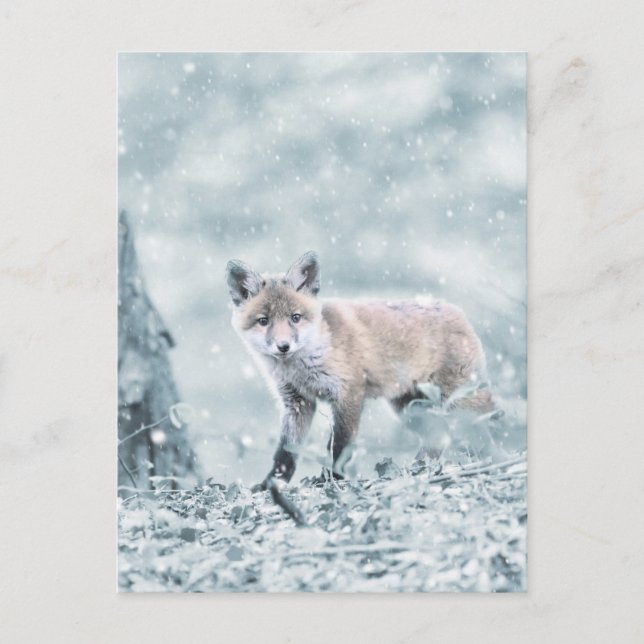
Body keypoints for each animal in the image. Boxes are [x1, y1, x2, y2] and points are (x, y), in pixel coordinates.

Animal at [226, 251, 493, 489]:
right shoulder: (297, 403)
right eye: (264, 321)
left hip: (457, 400)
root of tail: (456, 310)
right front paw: (271, 484)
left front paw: (332, 479)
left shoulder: (348, 393)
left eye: (295, 317)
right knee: (438, 436)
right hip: (410, 408)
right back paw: (417, 469)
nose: (283, 346)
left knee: (487, 420)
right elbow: (286, 452)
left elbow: (339, 446)